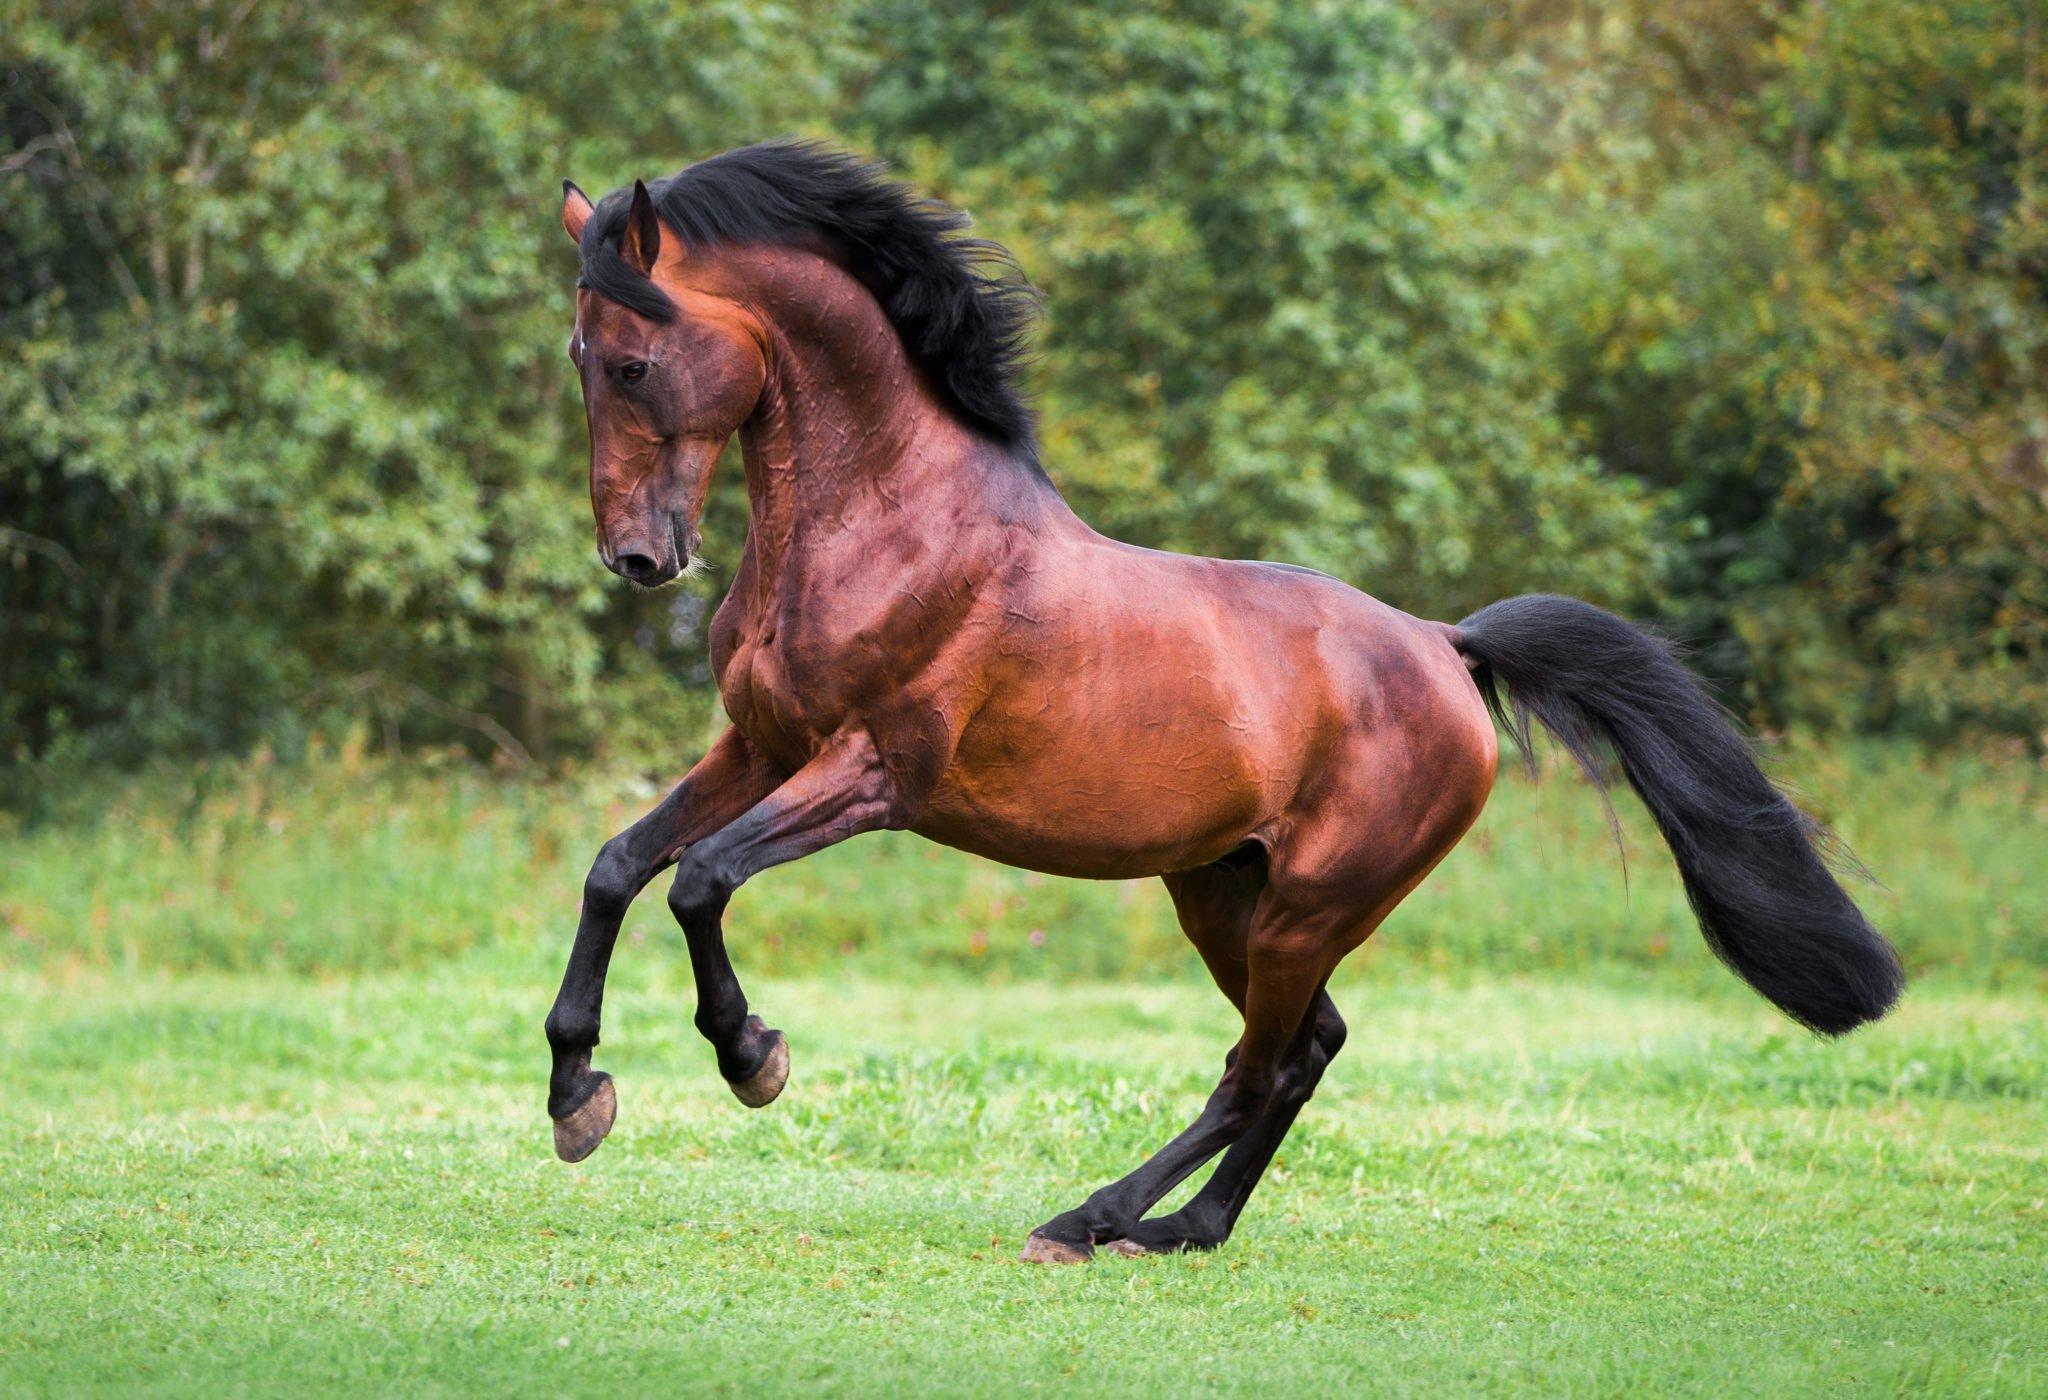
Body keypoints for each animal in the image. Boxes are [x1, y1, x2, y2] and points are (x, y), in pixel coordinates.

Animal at [544, 139, 1900, 1260]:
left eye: (633, 360)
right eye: (578, 360)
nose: (638, 559)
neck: (888, 521)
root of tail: (1444, 647)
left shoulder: (874, 769)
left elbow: (701, 878)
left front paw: (753, 1057)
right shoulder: (762, 744)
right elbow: (619, 864)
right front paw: (575, 1096)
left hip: (1311, 902)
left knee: (1260, 1065)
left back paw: (1088, 1218)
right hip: (1223, 889)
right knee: (1305, 1050)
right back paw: (1184, 1226)